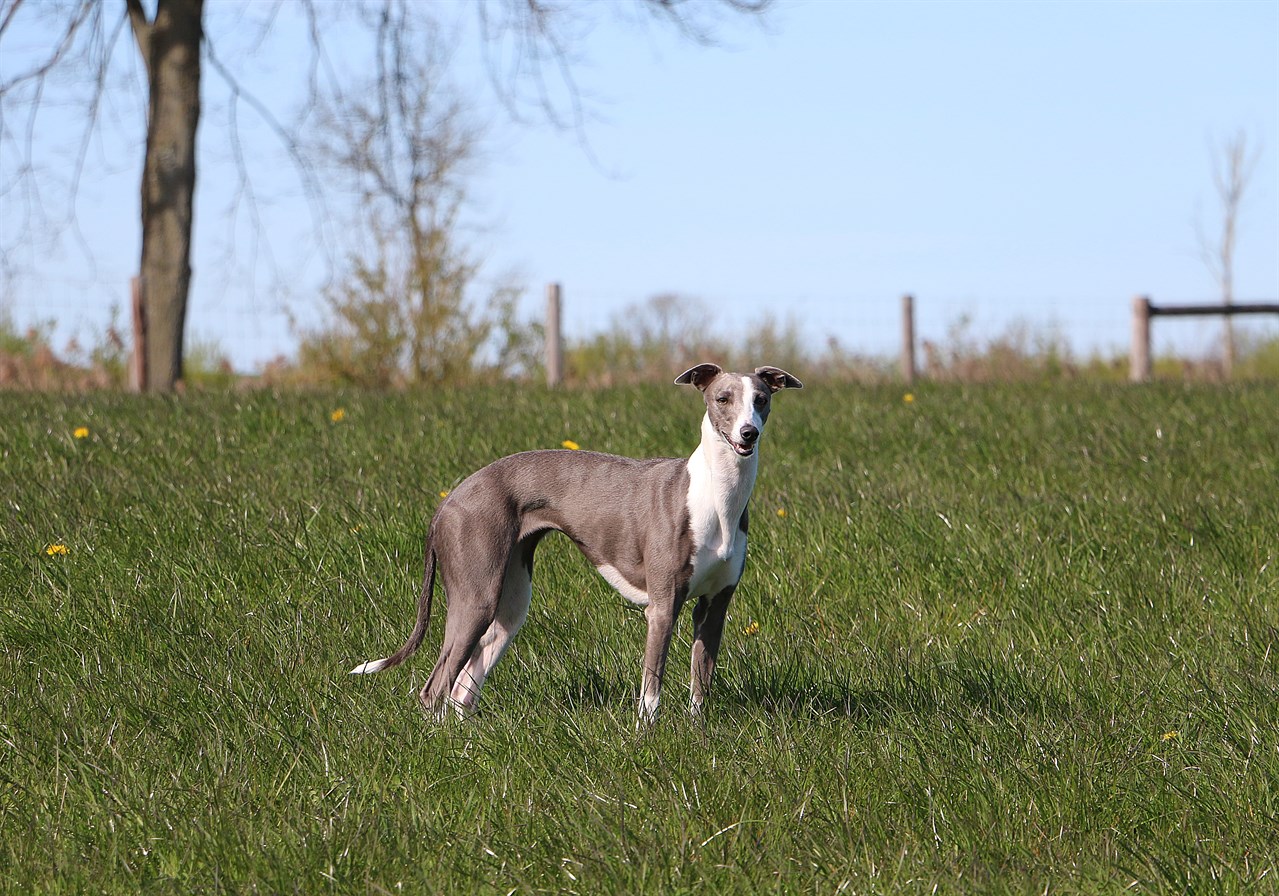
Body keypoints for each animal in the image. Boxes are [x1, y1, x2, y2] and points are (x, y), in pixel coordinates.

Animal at [353, 363, 798, 720]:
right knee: (435, 688)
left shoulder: (714, 607)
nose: (748, 433)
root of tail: (449, 501)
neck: (714, 496)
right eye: (723, 398)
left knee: (463, 687)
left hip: (509, 604)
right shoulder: (662, 607)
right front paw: (646, 739)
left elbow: (700, 687)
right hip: (475, 597)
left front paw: (697, 737)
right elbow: (650, 692)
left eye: (761, 400)